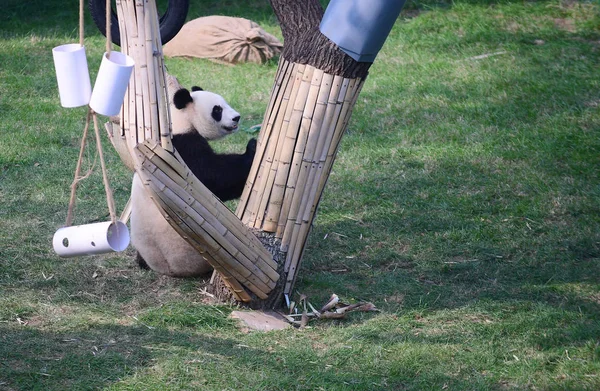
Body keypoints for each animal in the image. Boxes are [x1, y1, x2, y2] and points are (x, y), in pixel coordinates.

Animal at [130, 85, 254, 278]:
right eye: (217, 110)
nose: (237, 117)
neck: (181, 120)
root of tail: (167, 269)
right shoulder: (181, 150)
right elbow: (215, 176)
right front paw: (252, 149)